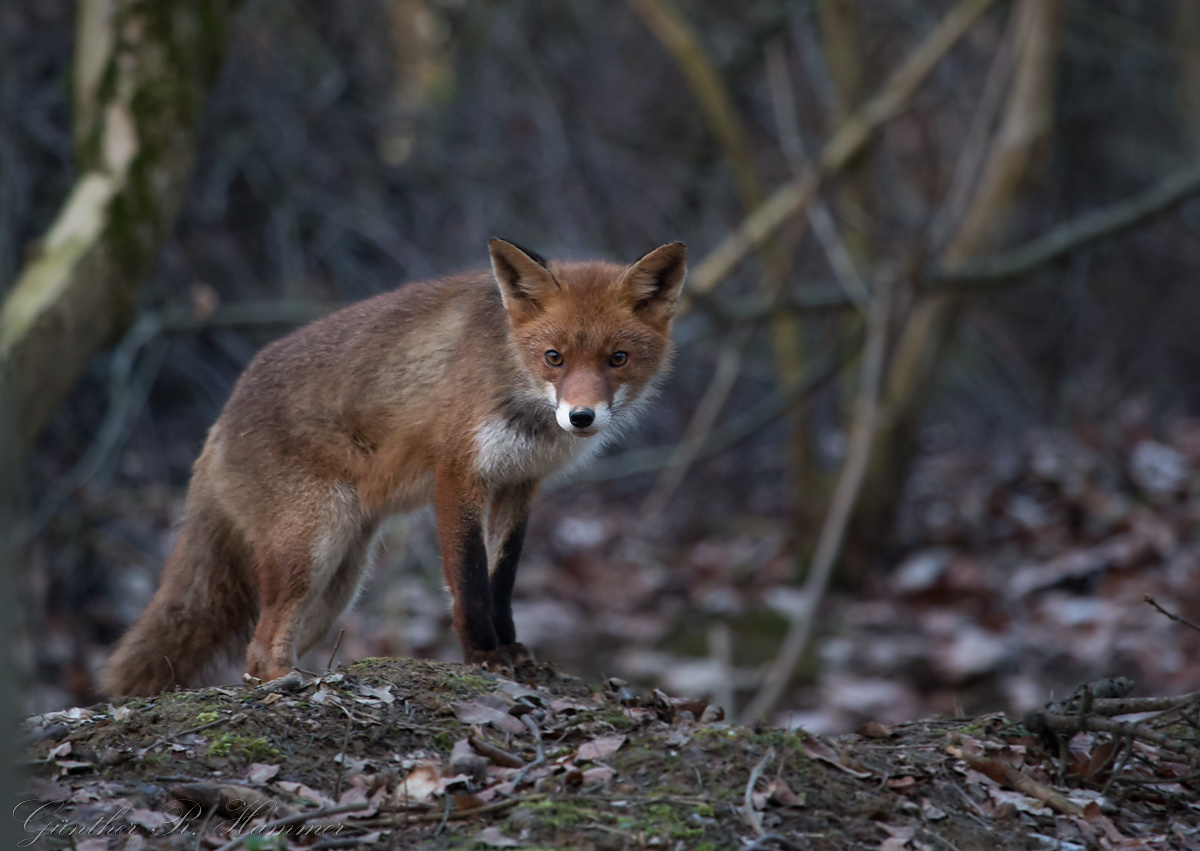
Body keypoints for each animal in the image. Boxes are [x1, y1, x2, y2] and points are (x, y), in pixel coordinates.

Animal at [102, 235, 686, 696]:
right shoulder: (458, 474)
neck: (515, 384)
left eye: (617, 359)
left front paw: (512, 648)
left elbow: (502, 579)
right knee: (259, 646)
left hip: (340, 579)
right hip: (312, 546)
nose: (581, 417)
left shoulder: (519, 483)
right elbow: (470, 581)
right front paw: (483, 655)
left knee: (257, 648)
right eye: (554, 358)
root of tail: (219, 422)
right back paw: (289, 683)